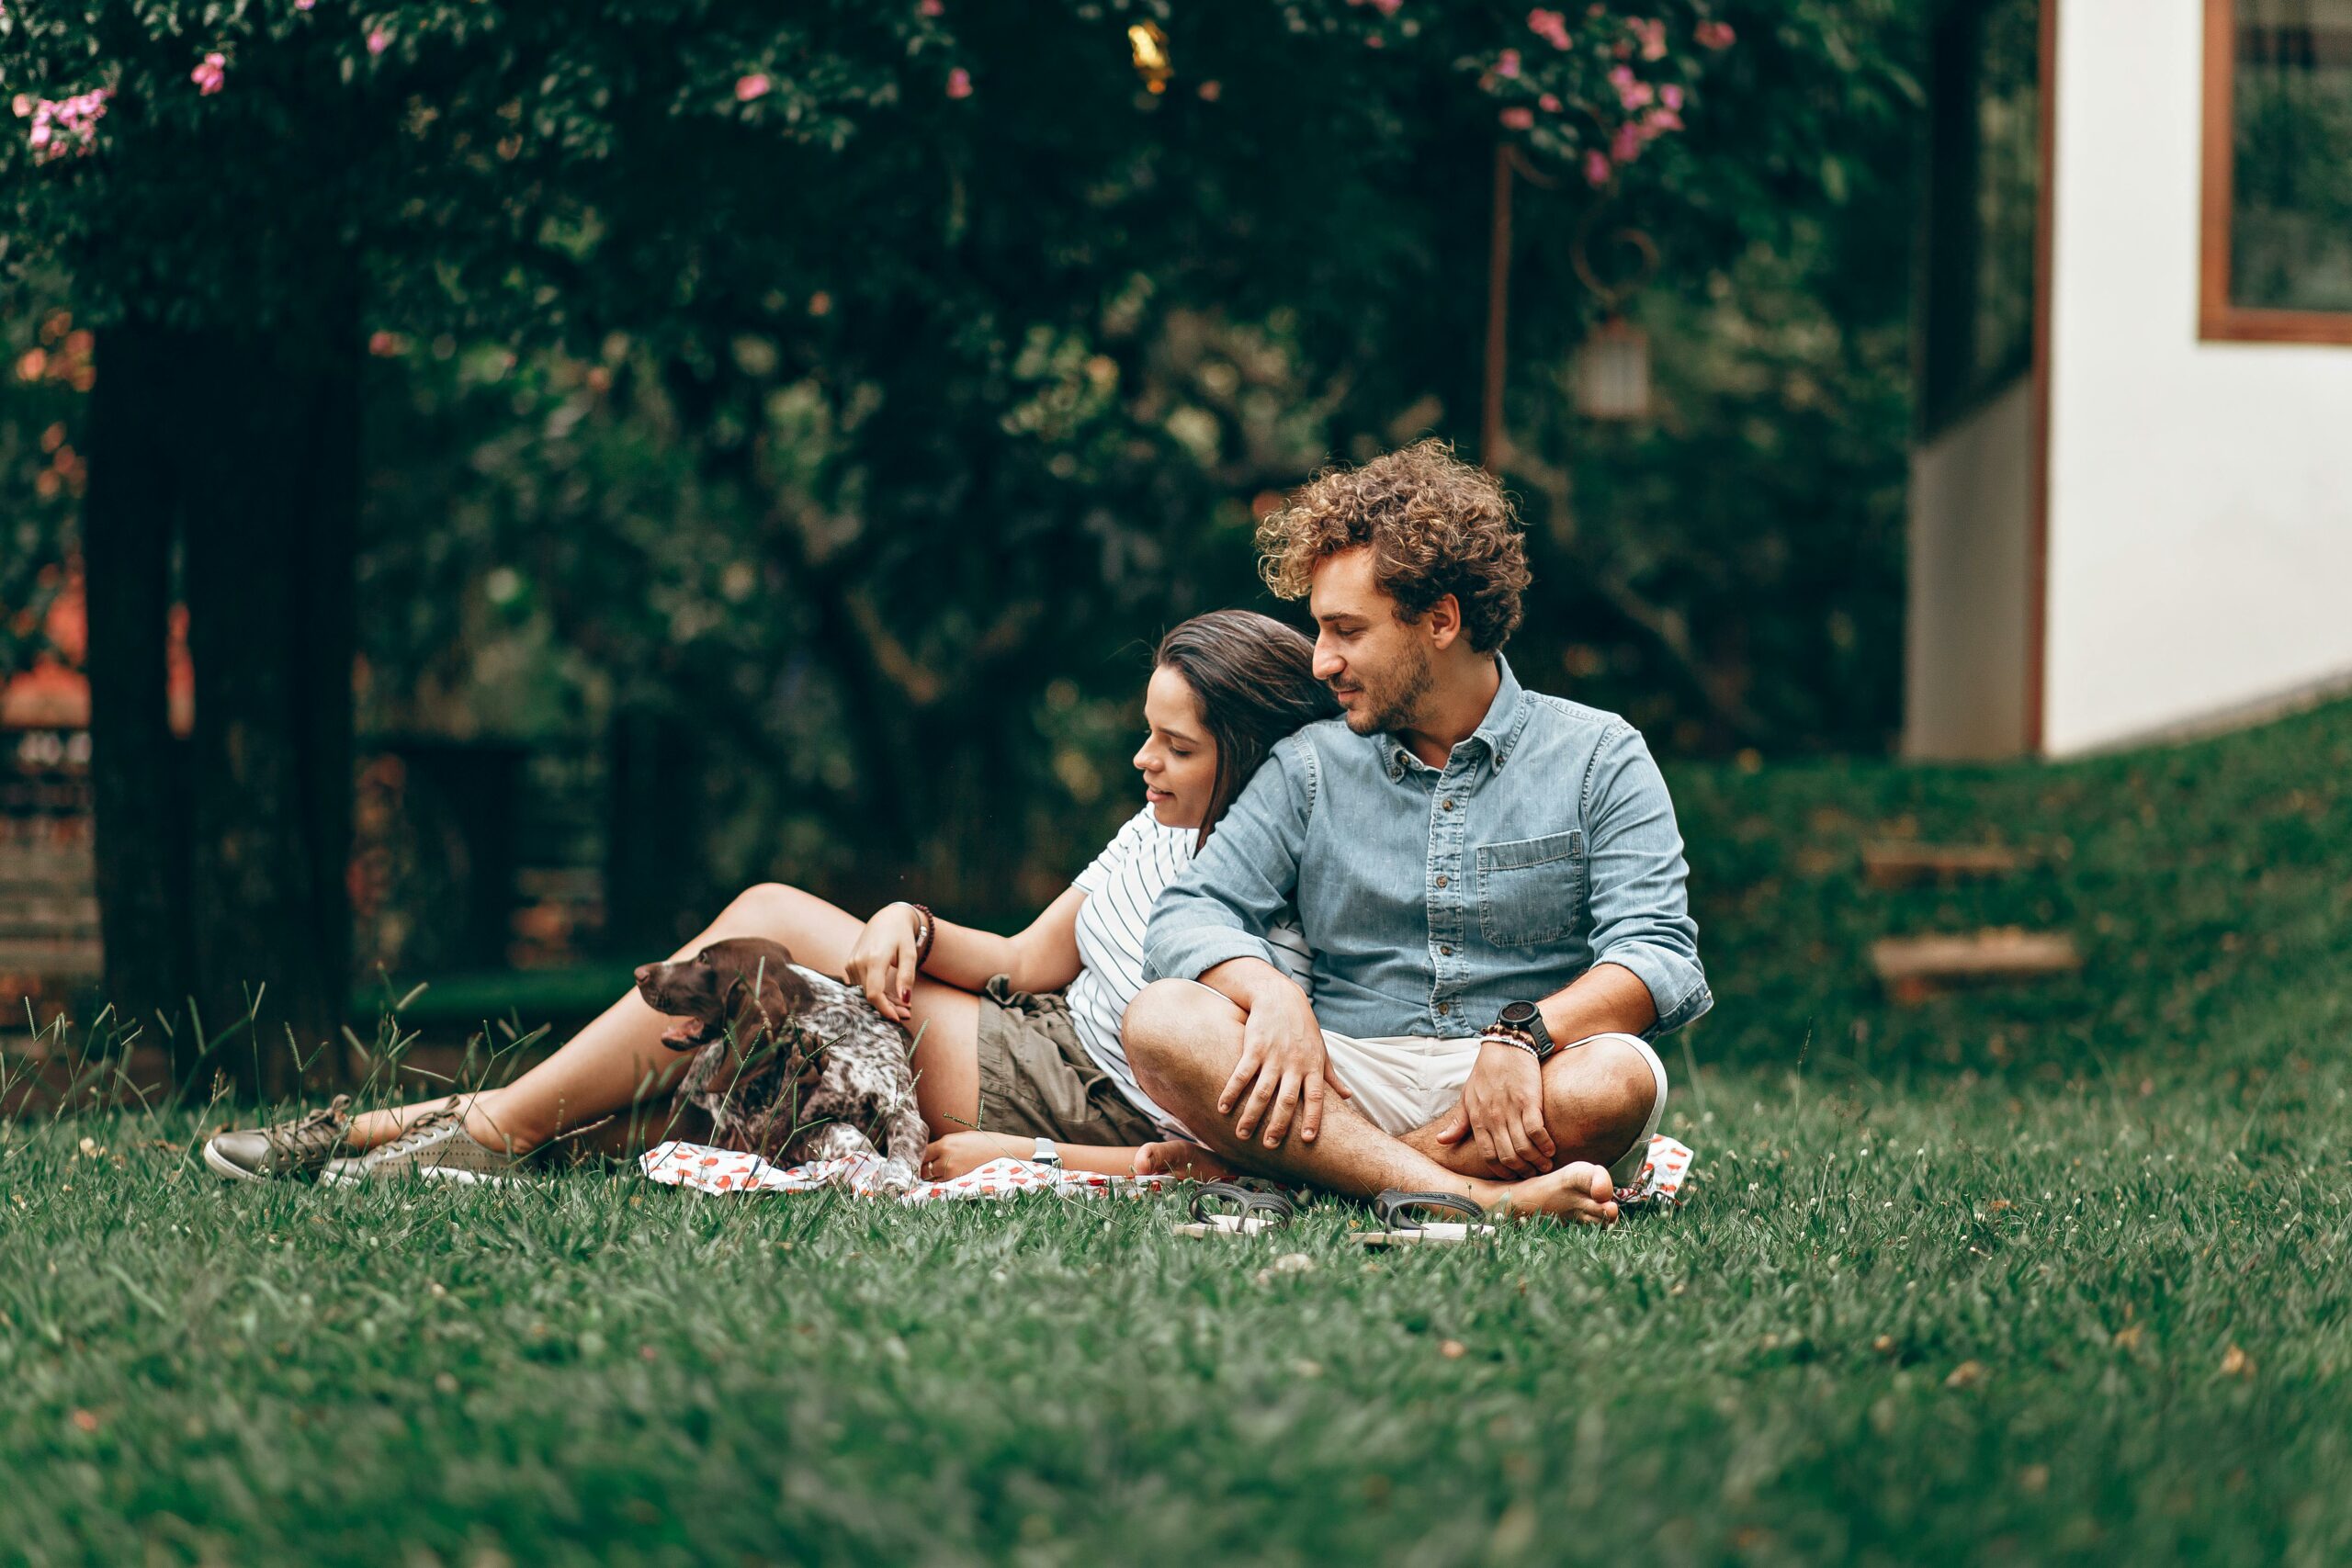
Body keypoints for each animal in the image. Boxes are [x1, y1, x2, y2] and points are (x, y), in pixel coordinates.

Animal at [635, 931, 926, 1189]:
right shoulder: (758, 1135)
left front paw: (894, 1178)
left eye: (704, 959)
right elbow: (833, 1130)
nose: (639, 973)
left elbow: (906, 1139)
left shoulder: (901, 1106)